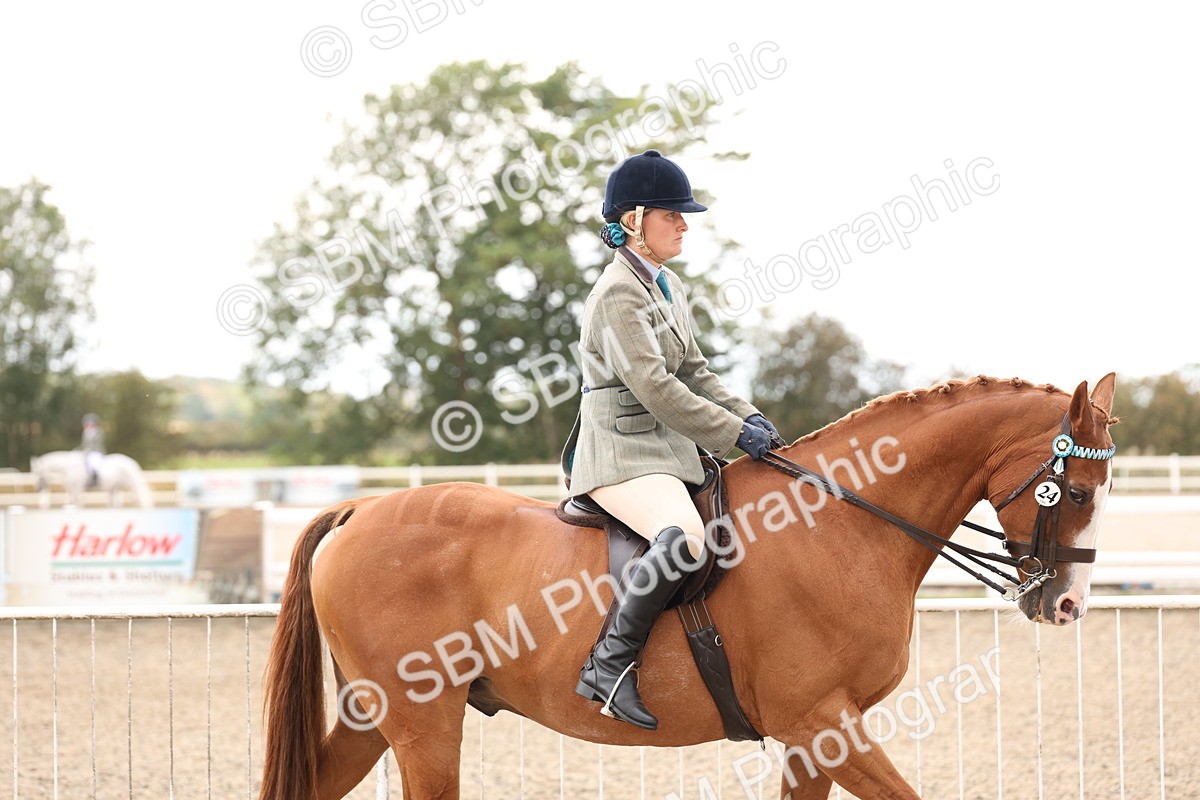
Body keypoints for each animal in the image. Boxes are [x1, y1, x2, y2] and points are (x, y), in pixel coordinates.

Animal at [259, 373, 1117, 800]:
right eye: (1076, 491)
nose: (1067, 604)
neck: (842, 524)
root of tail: (358, 510)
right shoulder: (823, 721)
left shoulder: (814, 737)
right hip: (423, 725)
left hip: (376, 719)